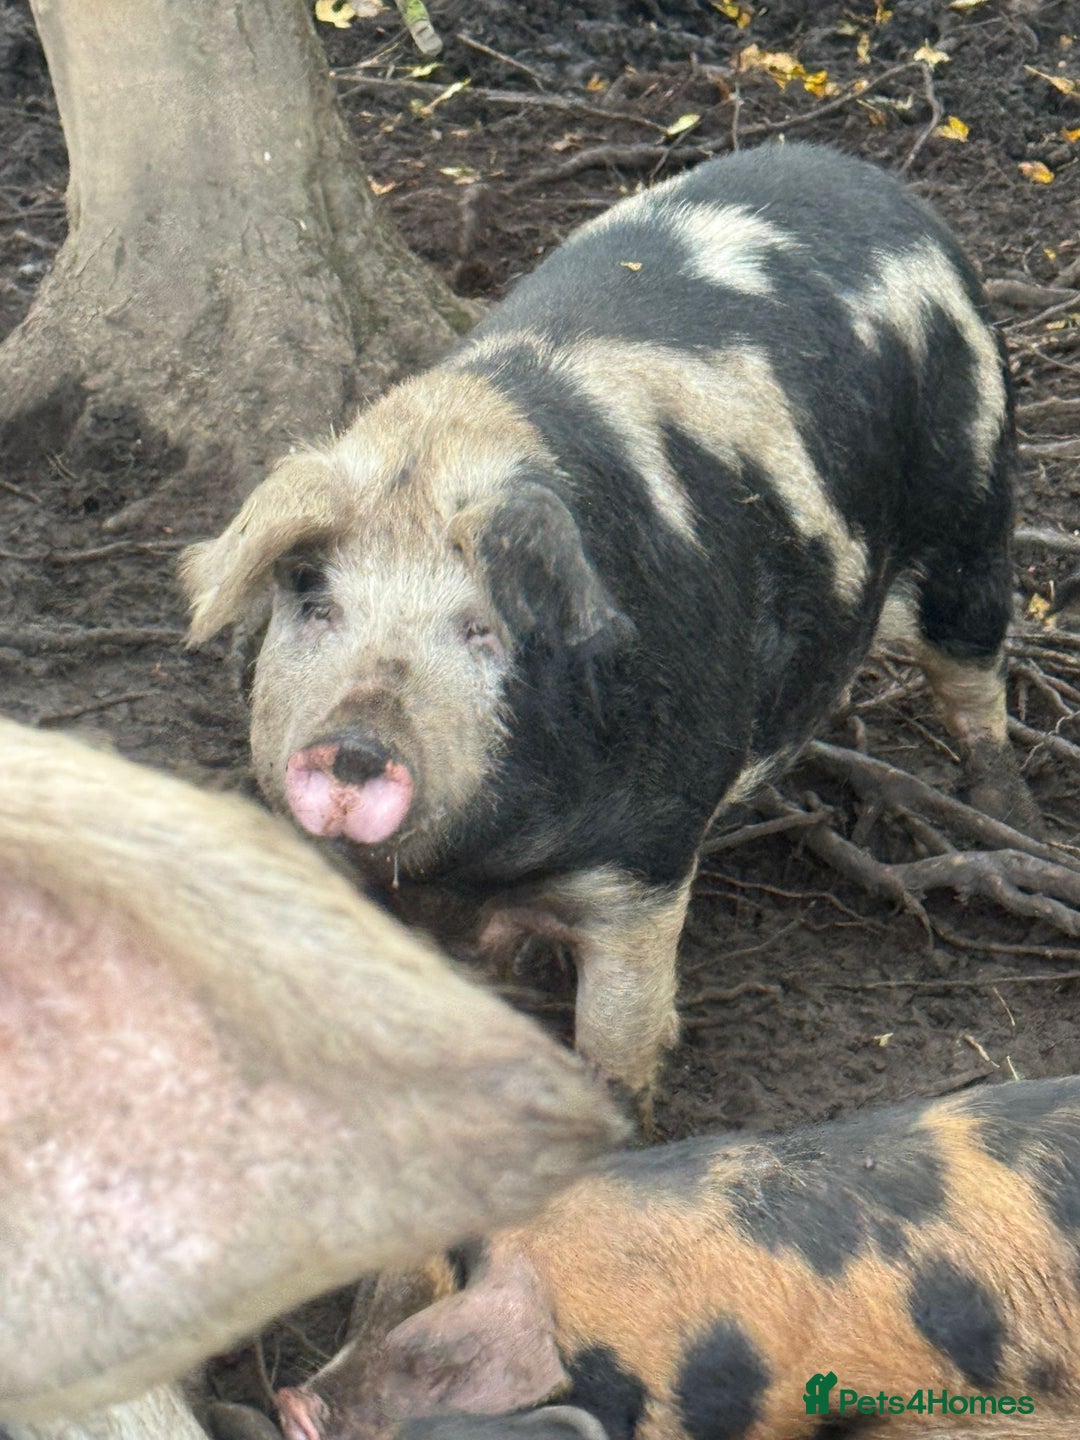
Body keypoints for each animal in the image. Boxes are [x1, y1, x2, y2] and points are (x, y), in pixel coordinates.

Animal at [181, 141, 1033, 1115]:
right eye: (317, 606)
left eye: (480, 630)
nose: (357, 744)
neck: (472, 868)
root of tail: (869, 178)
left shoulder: (643, 864)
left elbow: (620, 1041)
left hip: (973, 500)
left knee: (973, 670)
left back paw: (1009, 817)